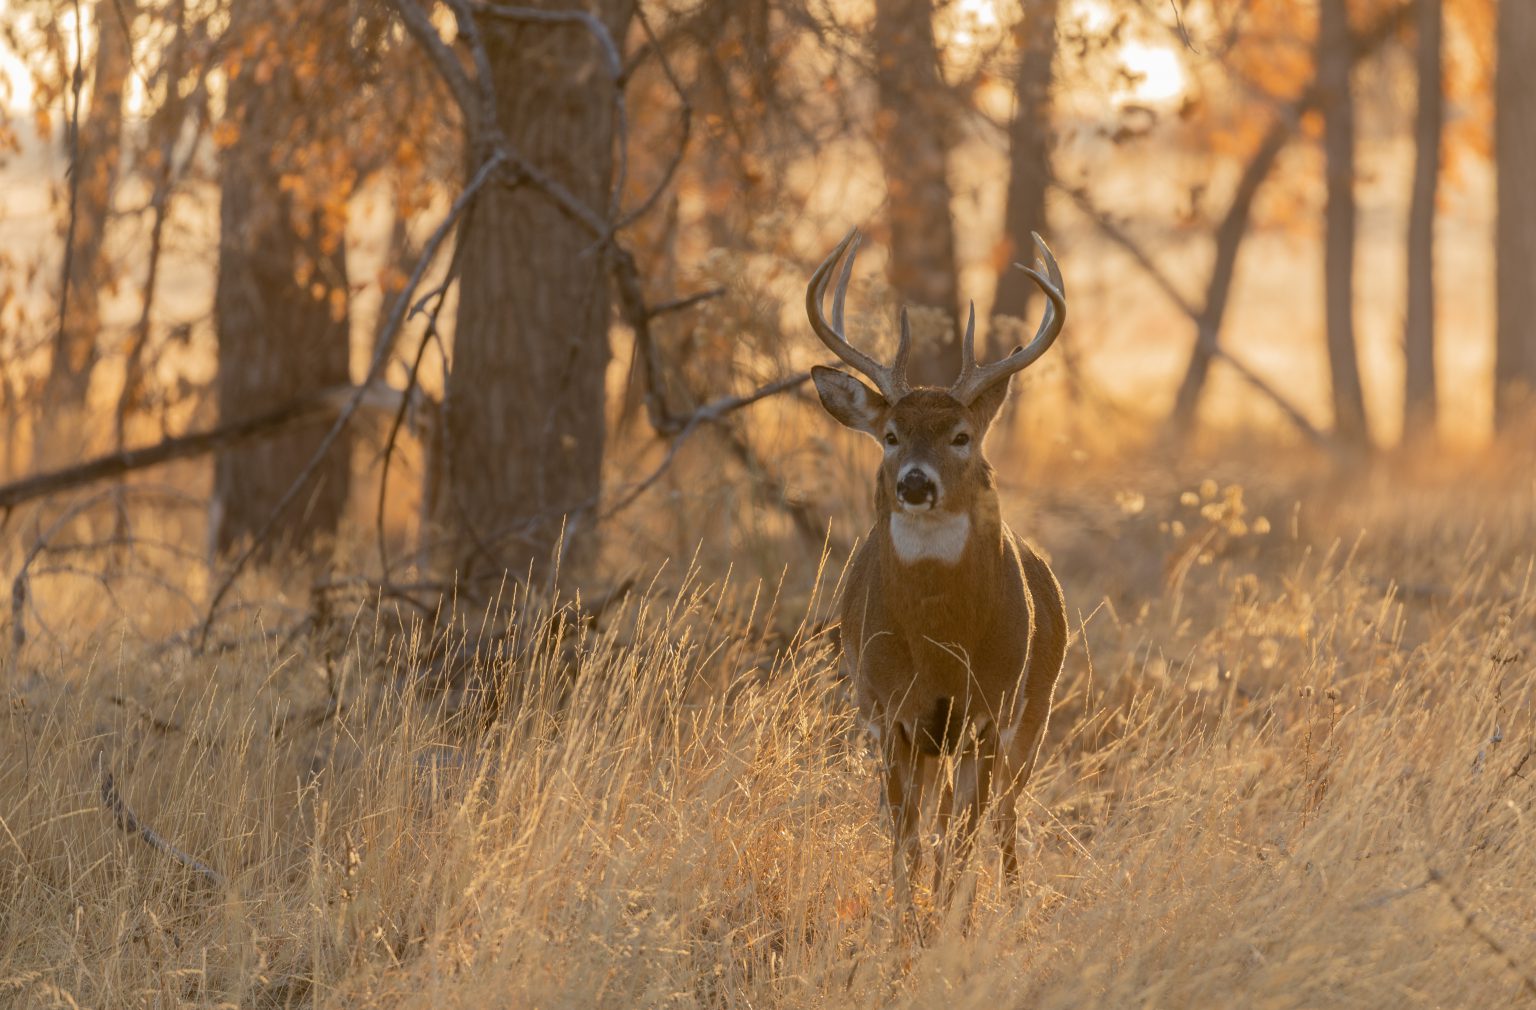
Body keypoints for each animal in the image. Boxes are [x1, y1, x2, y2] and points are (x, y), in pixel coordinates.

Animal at [804, 228, 1069, 902]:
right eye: (891, 435)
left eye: (961, 436)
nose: (915, 483)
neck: (939, 644)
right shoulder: (888, 710)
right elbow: (908, 842)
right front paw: (905, 921)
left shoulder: (988, 711)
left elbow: (960, 841)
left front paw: (951, 917)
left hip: (1035, 708)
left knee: (1003, 815)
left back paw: (1010, 896)